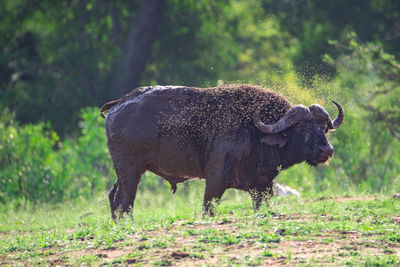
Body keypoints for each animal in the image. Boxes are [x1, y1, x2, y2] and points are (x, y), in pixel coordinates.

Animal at [101, 85, 344, 219]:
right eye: (302, 128)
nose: (327, 149)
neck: (254, 132)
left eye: (323, 128)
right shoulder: (215, 181)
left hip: (124, 171)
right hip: (131, 170)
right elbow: (208, 208)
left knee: (114, 196)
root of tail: (119, 104)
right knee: (124, 201)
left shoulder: (263, 187)